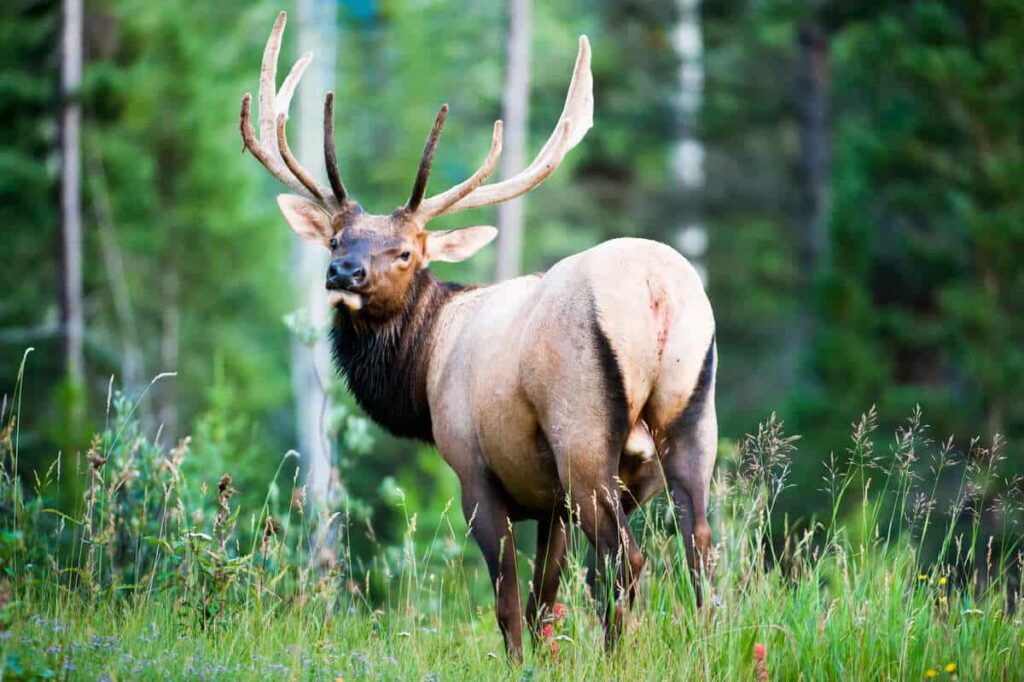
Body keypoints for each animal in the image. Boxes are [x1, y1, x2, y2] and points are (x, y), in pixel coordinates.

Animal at [242, 10, 716, 659]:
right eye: (336, 239)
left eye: (406, 252)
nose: (343, 273)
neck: (421, 374)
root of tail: (656, 288)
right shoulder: (551, 502)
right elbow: (545, 599)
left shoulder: (474, 469)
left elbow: (509, 604)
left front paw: (519, 663)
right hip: (692, 415)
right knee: (702, 549)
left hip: (583, 435)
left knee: (627, 558)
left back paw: (618, 656)